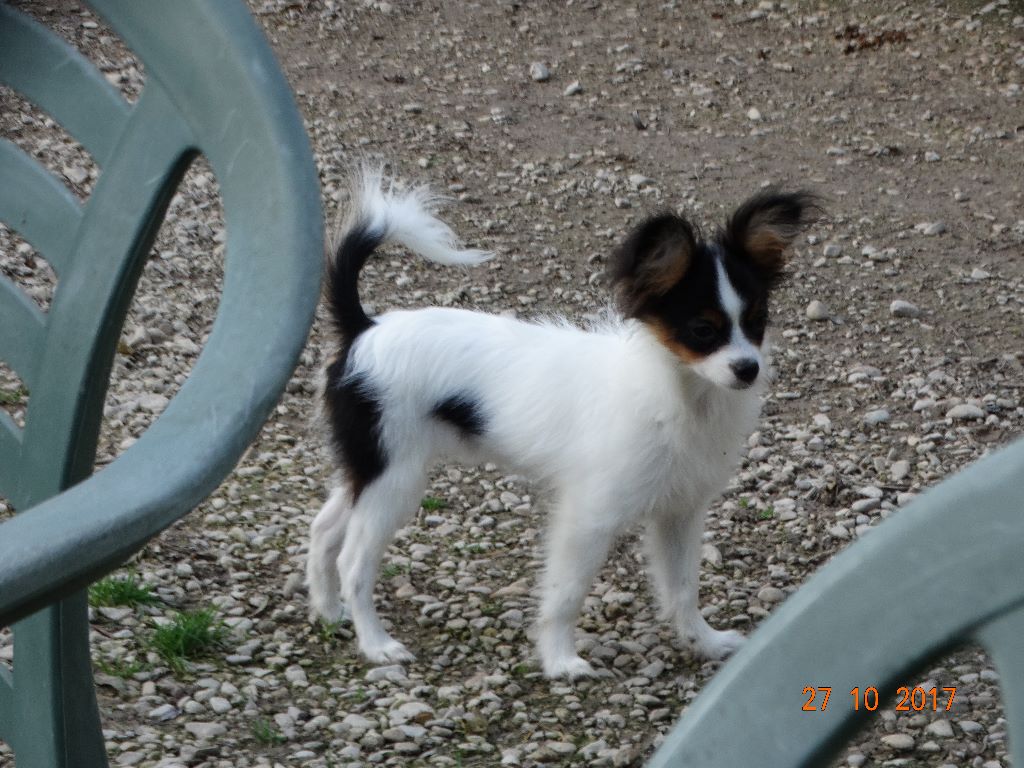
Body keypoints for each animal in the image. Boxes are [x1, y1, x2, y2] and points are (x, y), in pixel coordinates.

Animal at [305, 167, 817, 678]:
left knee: (324, 526)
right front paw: (560, 661)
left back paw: (329, 612)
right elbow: (566, 593)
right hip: (395, 475)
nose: (748, 369)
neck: (679, 395)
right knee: (353, 561)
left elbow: (683, 587)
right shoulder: (588, 516)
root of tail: (365, 328)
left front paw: (703, 642)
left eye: (757, 321)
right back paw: (376, 644)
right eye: (703, 330)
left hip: (372, 467)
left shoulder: (681, 511)